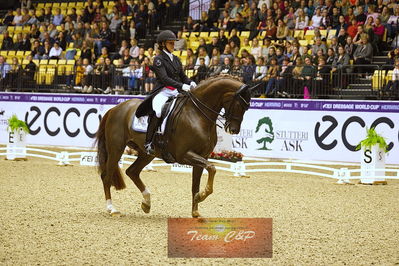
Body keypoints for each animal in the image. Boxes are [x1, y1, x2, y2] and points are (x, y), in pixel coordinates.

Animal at [96, 76, 253, 217]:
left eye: (247, 107)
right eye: (240, 104)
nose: (233, 130)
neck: (197, 114)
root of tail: (115, 109)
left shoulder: (202, 156)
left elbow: (196, 183)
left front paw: (195, 211)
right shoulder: (184, 154)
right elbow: (212, 168)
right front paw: (202, 196)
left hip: (147, 154)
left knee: (132, 172)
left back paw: (146, 203)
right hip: (116, 148)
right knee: (107, 176)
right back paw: (112, 209)